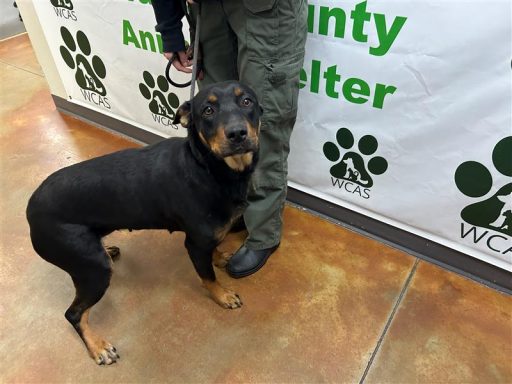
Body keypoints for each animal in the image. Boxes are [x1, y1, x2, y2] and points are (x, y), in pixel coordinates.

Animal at [26, 80, 262, 364]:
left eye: (247, 101)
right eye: (207, 110)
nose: (237, 133)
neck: (206, 166)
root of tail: (30, 209)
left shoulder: (205, 237)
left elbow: (214, 250)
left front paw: (219, 257)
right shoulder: (194, 244)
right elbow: (208, 277)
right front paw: (223, 295)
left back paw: (107, 249)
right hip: (94, 272)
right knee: (73, 314)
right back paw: (97, 347)